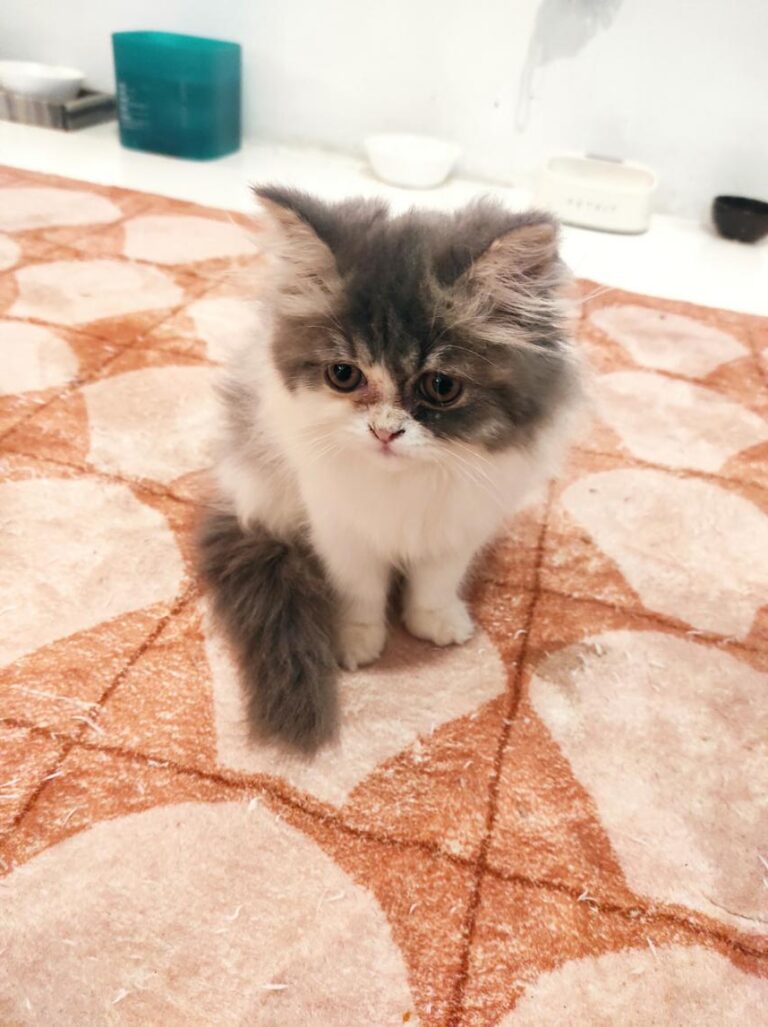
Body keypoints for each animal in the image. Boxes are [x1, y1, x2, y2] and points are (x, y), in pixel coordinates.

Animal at [198, 186, 582, 753]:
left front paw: (435, 622)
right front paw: (356, 640)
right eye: (343, 375)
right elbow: (360, 589)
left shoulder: (460, 524)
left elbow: (436, 580)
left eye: (441, 386)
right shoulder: (341, 528)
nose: (384, 432)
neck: (404, 484)